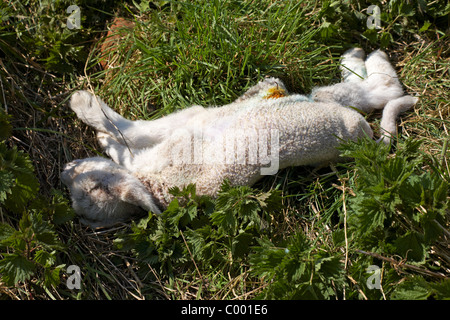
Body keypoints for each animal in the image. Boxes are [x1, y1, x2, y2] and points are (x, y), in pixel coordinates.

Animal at [60, 48, 418, 228]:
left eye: (91, 185)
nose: (65, 170)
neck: (153, 183)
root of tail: (366, 141)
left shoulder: (188, 123)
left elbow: (134, 130)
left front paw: (86, 108)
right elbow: (128, 145)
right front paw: (104, 139)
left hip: (327, 105)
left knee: (384, 90)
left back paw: (363, 55)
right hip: (328, 105)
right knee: (374, 93)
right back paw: (358, 57)